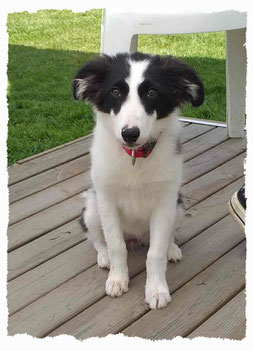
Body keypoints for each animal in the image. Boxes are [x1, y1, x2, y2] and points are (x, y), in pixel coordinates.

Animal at [73, 51, 204, 310]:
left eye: (152, 92)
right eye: (115, 91)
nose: (130, 134)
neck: (135, 157)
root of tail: (135, 236)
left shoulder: (165, 202)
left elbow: (155, 253)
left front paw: (156, 290)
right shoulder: (107, 200)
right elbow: (116, 246)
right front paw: (117, 280)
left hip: (178, 206)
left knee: (166, 237)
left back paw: (172, 248)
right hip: (91, 208)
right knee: (97, 238)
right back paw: (103, 256)